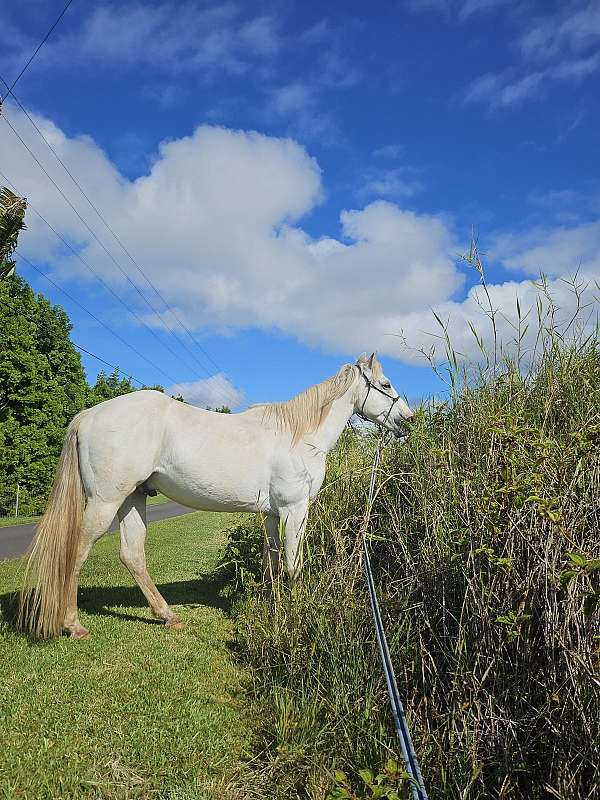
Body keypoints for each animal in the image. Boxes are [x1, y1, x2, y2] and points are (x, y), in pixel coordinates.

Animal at [18, 354, 412, 640]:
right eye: (386, 384)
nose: (408, 420)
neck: (298, 436)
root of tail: (87, 415)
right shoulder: (294, 510)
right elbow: (292, 564)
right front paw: (296, 612)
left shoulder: (272, 514)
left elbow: (270, 563)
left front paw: (270, 608)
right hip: (104, 503)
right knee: (77, 551)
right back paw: (74, 625)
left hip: (132, 499)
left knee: (132, 555)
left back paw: (168, 616)